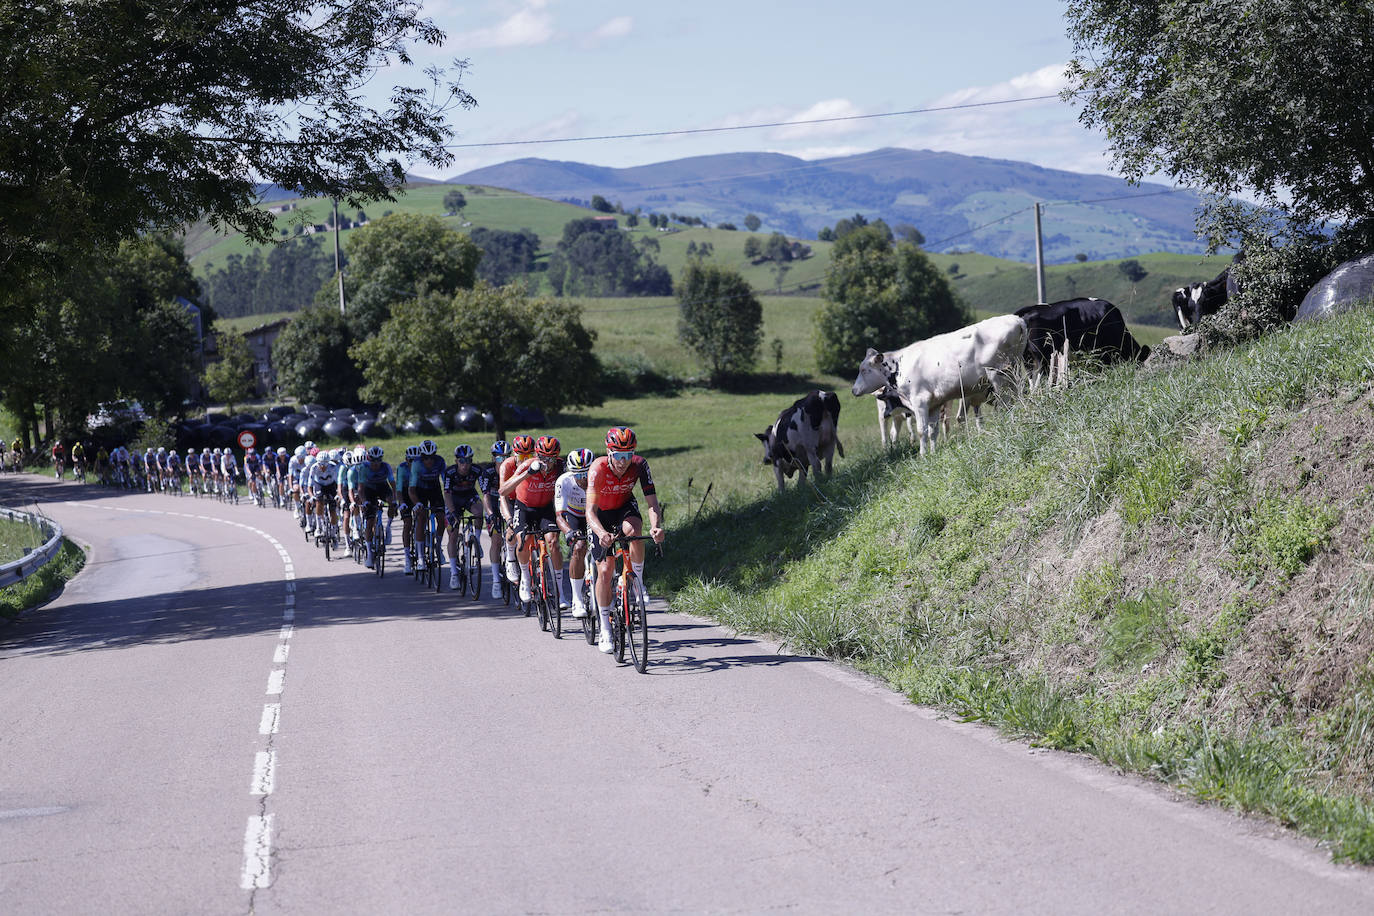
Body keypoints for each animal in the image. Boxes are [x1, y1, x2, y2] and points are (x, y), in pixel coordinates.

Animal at [846, 315, 1033, 458]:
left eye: (864, 370)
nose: (854, 390)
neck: (900, 365)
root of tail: (1015, 319)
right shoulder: (934, 404)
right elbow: (932, 431)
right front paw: (933, 453)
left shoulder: (920, 401)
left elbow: (922, 430)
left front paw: (922, 456)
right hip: (1013, 371)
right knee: (1017, 397)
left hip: (999, 375)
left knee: (1006, 404)